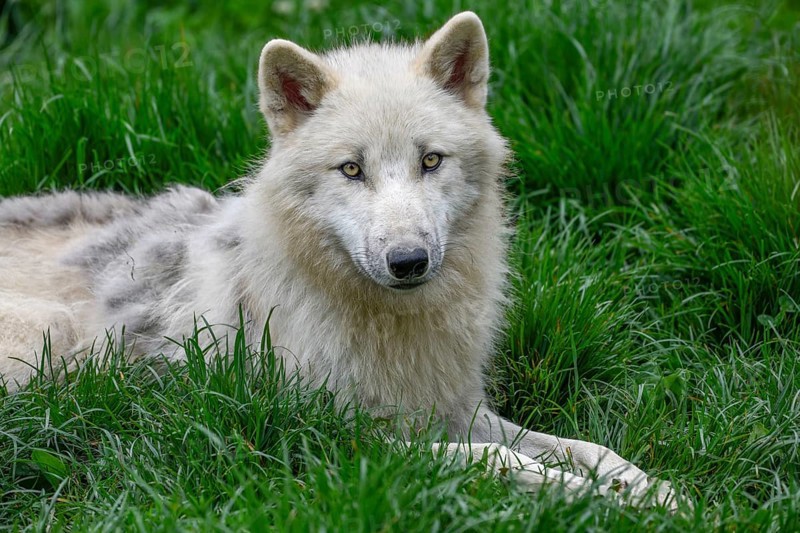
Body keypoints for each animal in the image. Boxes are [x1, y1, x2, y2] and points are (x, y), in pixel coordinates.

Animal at [0, 12, 679, 508]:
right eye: (351, 169)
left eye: (430, 160)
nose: (408, 261)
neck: (388, 327)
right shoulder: (342, 441)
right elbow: (506, 462)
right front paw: (590, 499)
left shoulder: (457, 410)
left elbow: (583, 448)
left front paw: (650, 490)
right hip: (47, 345)